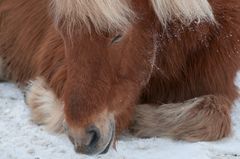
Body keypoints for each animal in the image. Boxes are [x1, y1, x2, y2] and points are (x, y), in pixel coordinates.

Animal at [0, 0, 240, 155]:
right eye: (64, 33)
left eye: (118, 35)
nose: (82, 138)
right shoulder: (54, 57)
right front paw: (36, 97)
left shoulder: (218, 80)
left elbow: (214, 119)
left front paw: (140, 117)